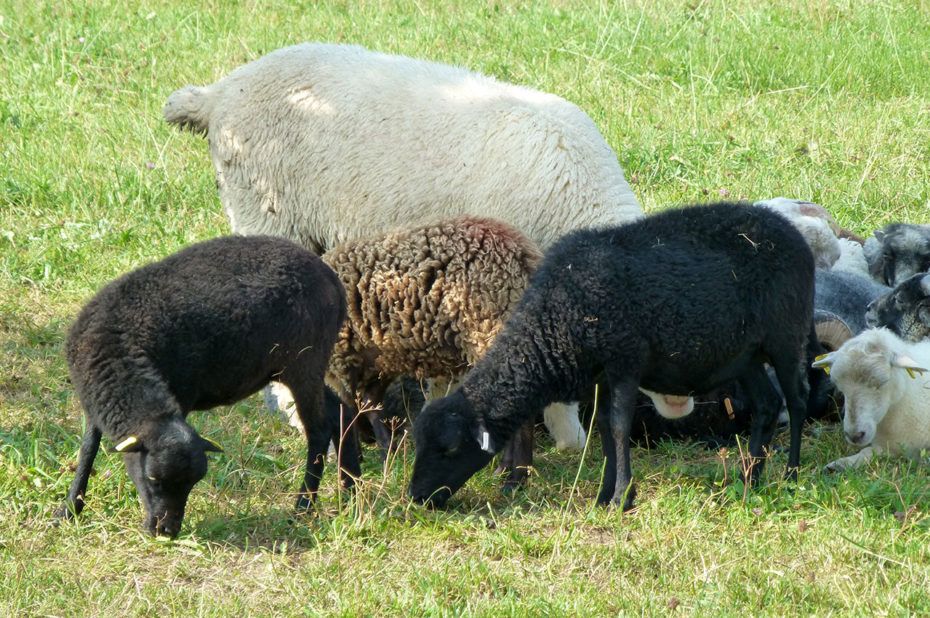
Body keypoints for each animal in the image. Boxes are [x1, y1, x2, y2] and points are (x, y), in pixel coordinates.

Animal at [56, 233, 358, 536]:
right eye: (152, 478)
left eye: (192, 484)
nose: (165, 531)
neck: (120, 354)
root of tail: (331, 279)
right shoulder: (93, 404)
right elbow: (88, 449)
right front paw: (69, 509)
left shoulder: (181, 395)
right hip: (306, 366)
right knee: (341, 412)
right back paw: (350, 492)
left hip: (303, 363)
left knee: (319, 429)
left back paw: (303, 507)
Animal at [410, 200, 816, 508]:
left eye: (450, 448)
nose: (416, 496)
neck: (556, 315)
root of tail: (793, 233)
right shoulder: (603, 372)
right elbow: (605, 426)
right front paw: (605, 495)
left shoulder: (625, 362)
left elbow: (620, 426)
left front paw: (622, 496)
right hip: (745, 355)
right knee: (766, 404)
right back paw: (752, 479)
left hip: (786, 337)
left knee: (797, 402)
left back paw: (791, 474)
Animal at [808, 328, 928, 466]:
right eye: (839, 386)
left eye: (884, 381)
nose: (854, 436)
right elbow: (868, 451)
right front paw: (840, 464)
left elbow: (868, 451)